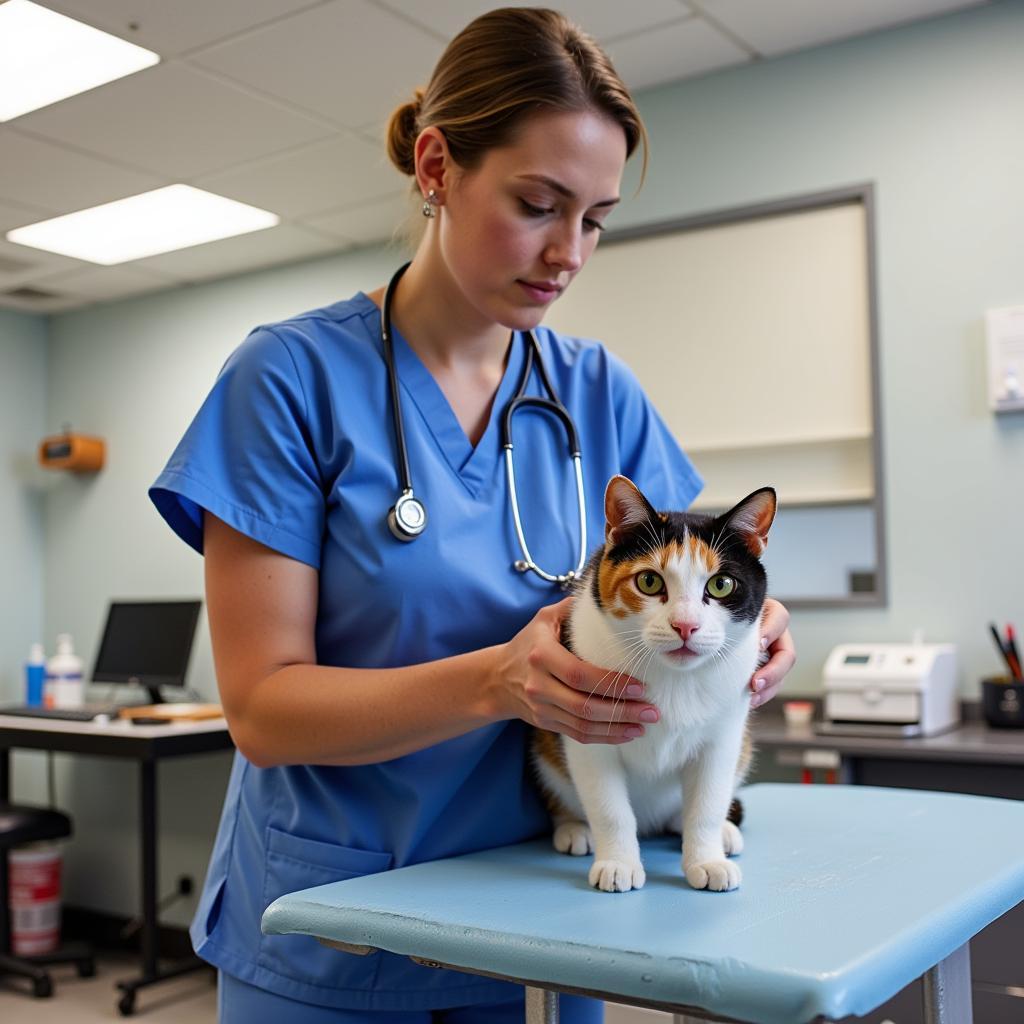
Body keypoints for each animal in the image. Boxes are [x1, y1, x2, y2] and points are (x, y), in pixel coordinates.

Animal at [532, 475, 770, 892]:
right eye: (648, 580)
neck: (674, 678)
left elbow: (707, 804)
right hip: (545, 749)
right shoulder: (588, 734)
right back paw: (573, 828)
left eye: (722, 585)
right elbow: (610, 809)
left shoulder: (724, 737)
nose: (685, 626)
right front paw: (618, 863)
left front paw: (707, 860)